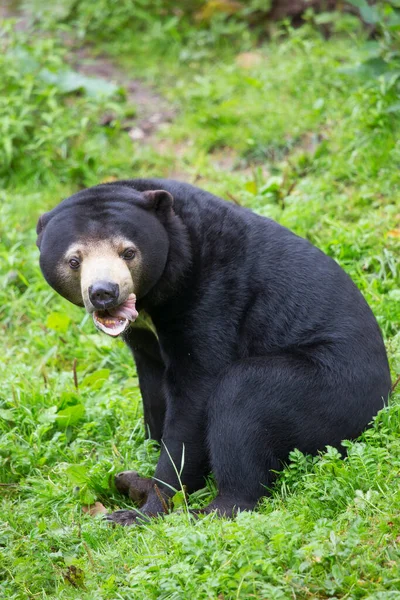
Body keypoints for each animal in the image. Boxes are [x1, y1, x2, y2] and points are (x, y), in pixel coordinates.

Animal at [36, 179, 392, 524]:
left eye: (128, 252)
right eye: (74, 260)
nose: (104, 293)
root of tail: (381, 403)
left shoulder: (212, 296)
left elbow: (195, 397)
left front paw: (143, 511)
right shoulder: (145, 342)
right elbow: (154, 392)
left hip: (328, 391)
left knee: (242, 397)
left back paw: (209, 510)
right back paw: (131, 482)